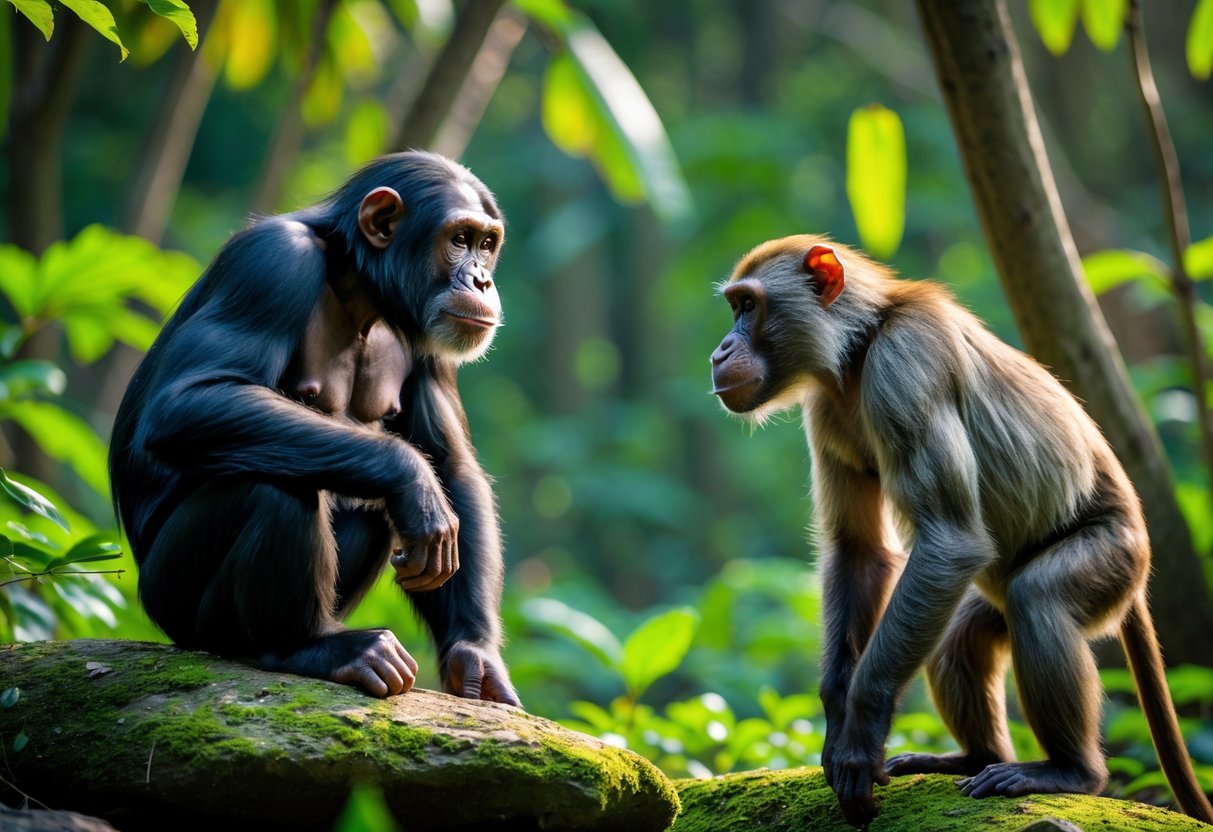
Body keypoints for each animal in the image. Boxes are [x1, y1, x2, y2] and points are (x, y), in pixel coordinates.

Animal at [709, 235, 1213, 827]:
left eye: (748, 306)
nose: (720, 351)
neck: (858, 350)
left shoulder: (906, 365)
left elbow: (949, 541)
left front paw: (861, 728)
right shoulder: (826, 408)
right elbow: (860, 551)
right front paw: (837, 716)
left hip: (1115, 556)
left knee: (1036, 597)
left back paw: (1071, 771)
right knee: (960, 635)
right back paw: (976, 756)